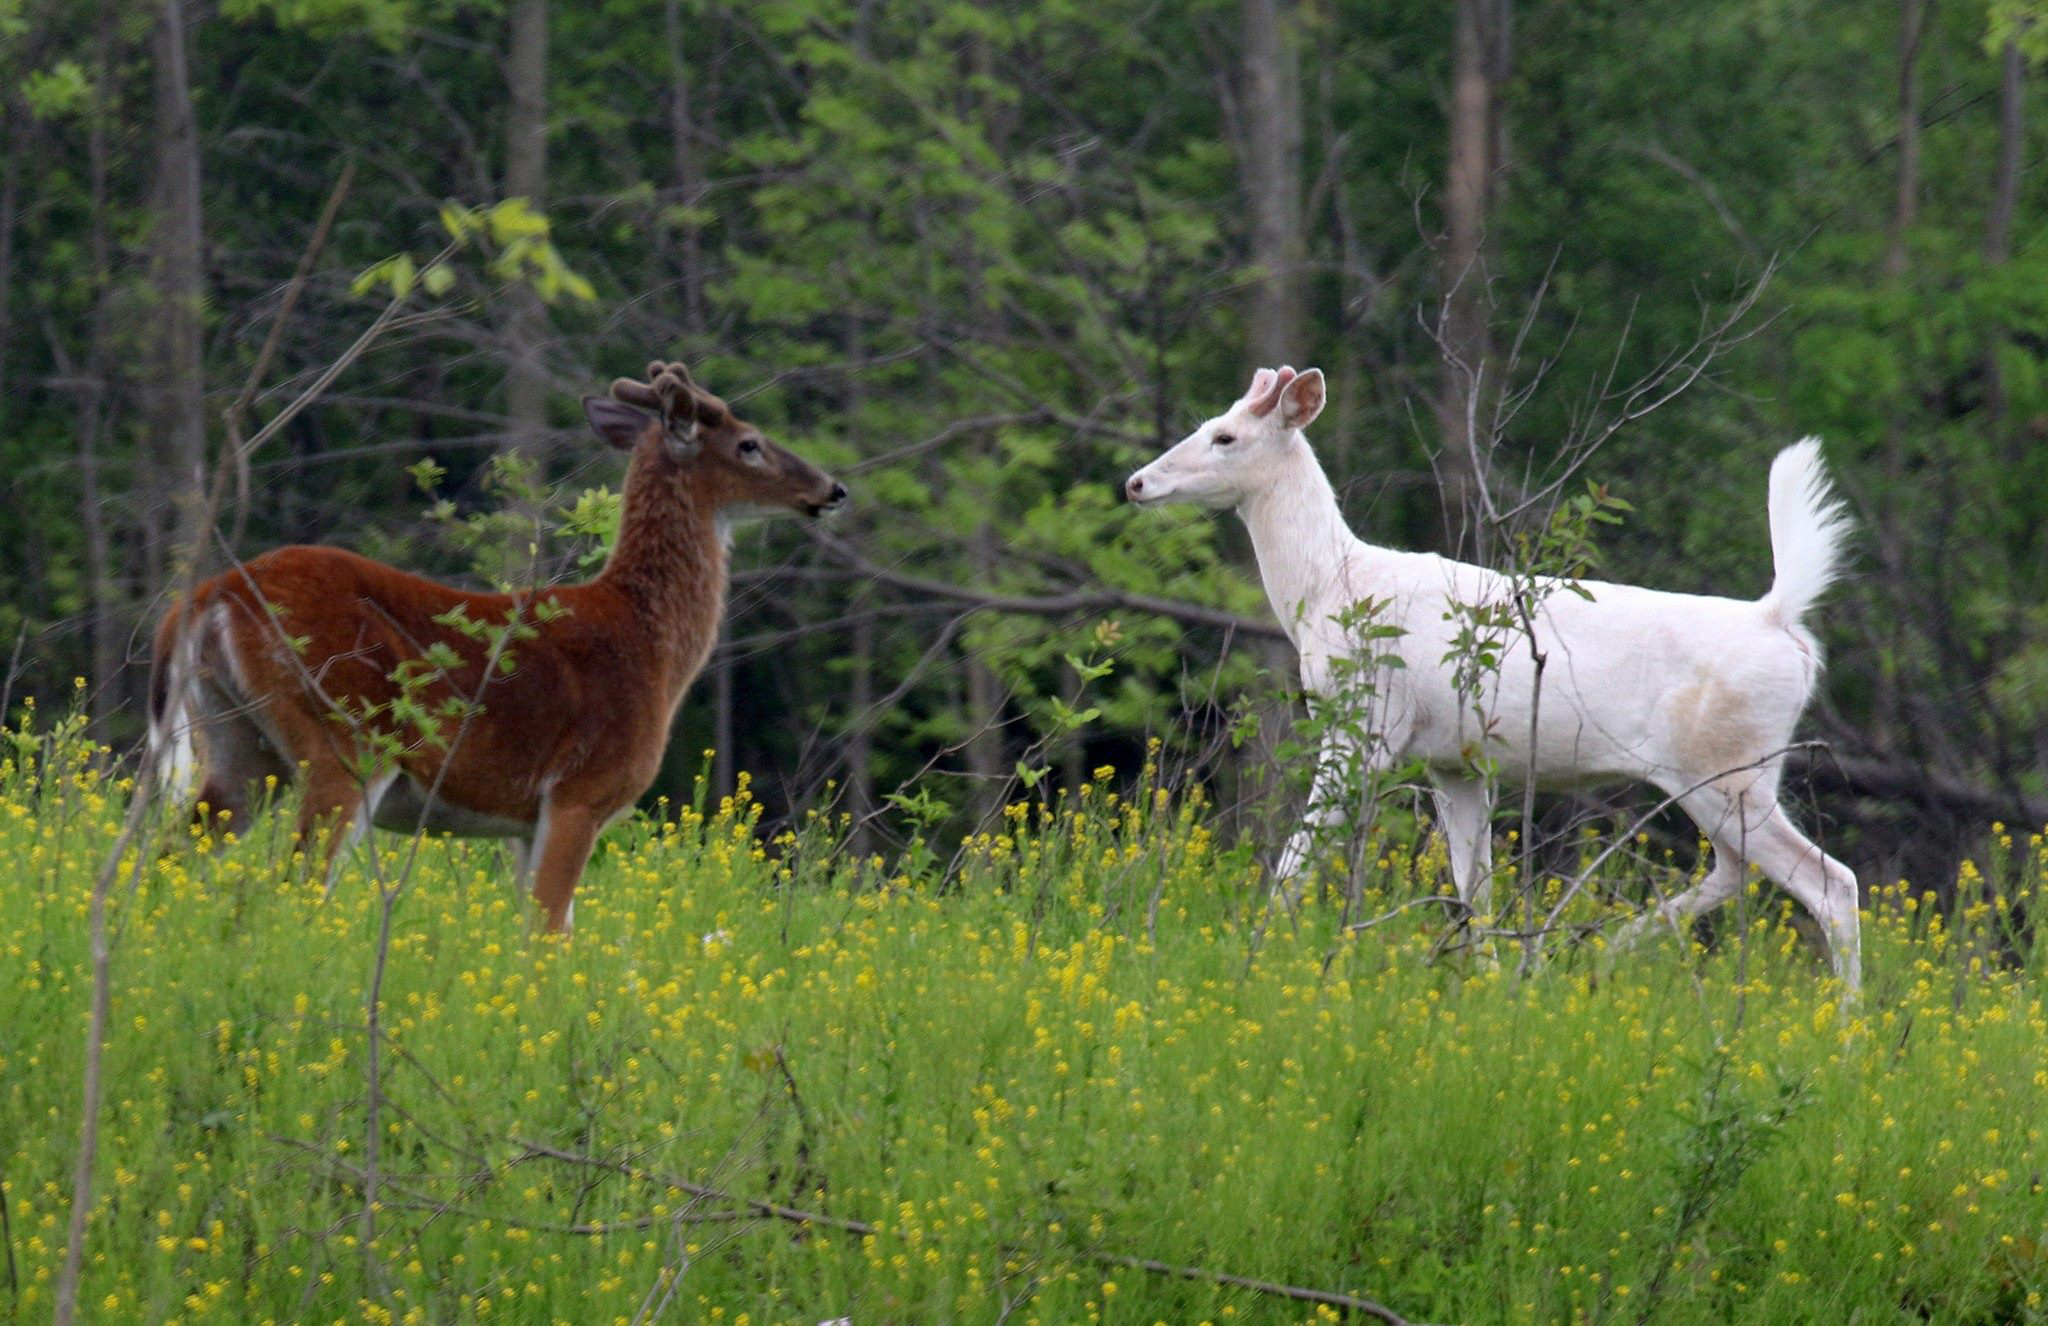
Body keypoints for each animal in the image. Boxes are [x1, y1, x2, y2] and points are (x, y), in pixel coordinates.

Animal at [148, 358, 843, 930]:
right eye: (749, 444)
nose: (833, 490)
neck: (651, 645)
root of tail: (207, 595)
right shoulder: (580, 791)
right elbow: (548, 935)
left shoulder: (523, 821)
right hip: (345, 737)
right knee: (296, 883)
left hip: (239, 743)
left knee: (167, 856)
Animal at [1130, 362, 1867, 983]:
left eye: (1225, 436)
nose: (1138, 482)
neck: (1331, 588)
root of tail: (1781, 621)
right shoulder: (1453, 760)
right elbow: (1474, 886)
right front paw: (1485, 983)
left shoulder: (1369, 724)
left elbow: (1297, 858)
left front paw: (1252, 952)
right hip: (1730, 774)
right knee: (1742, 869)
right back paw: (1605, 949)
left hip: (1726, 766)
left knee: (1830, 882)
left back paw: (1848, 1028)